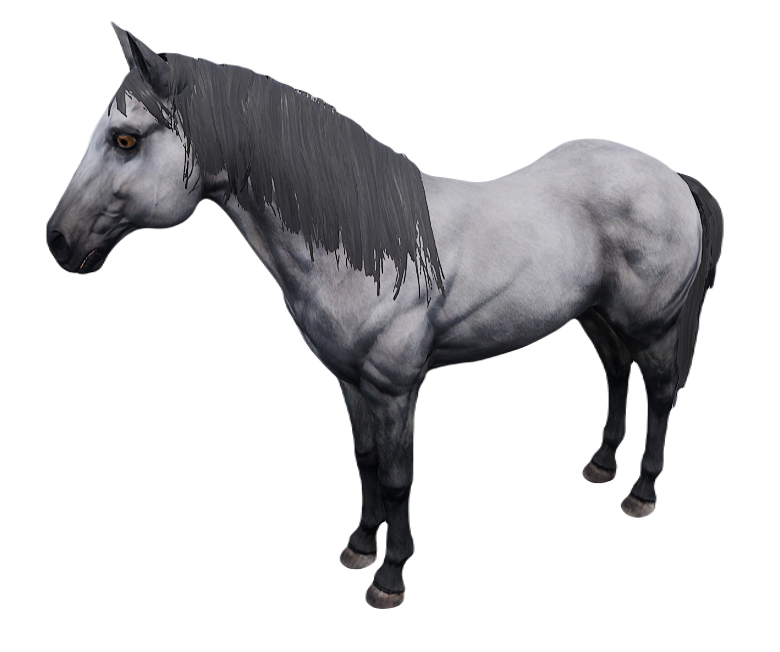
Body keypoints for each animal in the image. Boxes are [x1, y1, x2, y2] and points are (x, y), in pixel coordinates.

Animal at [46, 23, 723, 609]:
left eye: (126, 138)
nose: (58, 241)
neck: (364, 250)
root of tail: (668, 175)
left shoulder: (397, 388)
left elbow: (399, 476)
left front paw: (390, 577)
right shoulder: (351, 381)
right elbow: (367, 461)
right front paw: (358, 546)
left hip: (652, 324)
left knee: (659, 392)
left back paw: (640, 493)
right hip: (596, 316)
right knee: (616, 373)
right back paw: (601, 466)